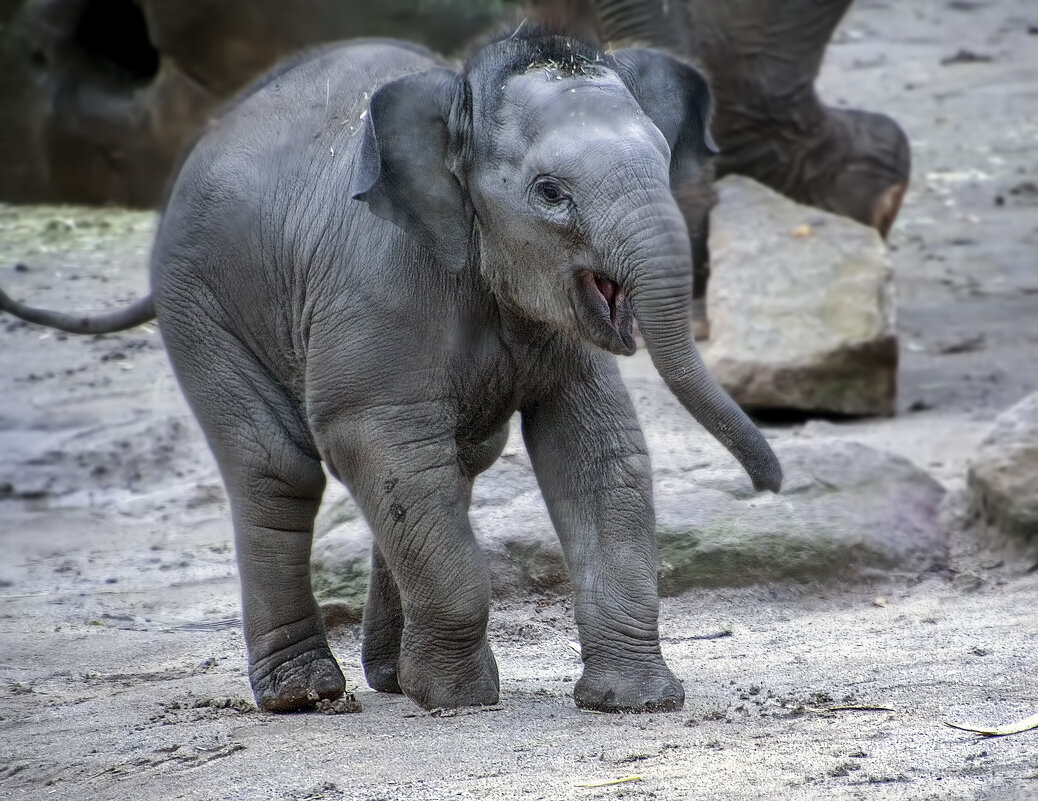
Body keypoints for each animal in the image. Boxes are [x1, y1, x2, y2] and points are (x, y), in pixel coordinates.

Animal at [0, 28, 780, 713]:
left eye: (663, 159)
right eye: (550, 192)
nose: (768, 483)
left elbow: (597, 450)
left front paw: (633, 702)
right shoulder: (374, 285)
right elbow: (371, 435)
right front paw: (459, 700)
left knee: (452, 465)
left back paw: (391, 677)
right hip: (200, 306)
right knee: (280, 470)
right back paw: (307, 696)